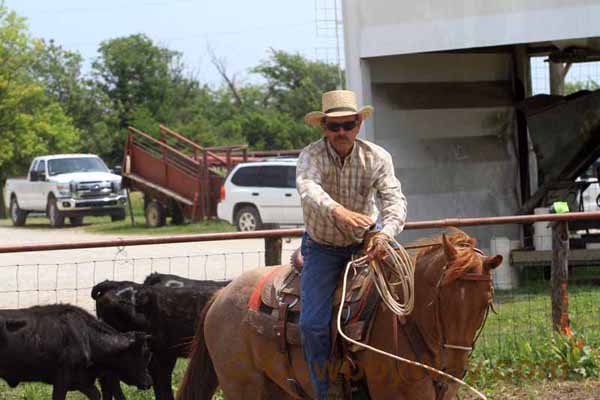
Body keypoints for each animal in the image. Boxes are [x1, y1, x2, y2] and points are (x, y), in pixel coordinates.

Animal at [0, 304, 152, 400]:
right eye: (143, 355)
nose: (149, 382)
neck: (86, 337)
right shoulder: (62, 379)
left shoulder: (81, 380)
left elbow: (96, 394)